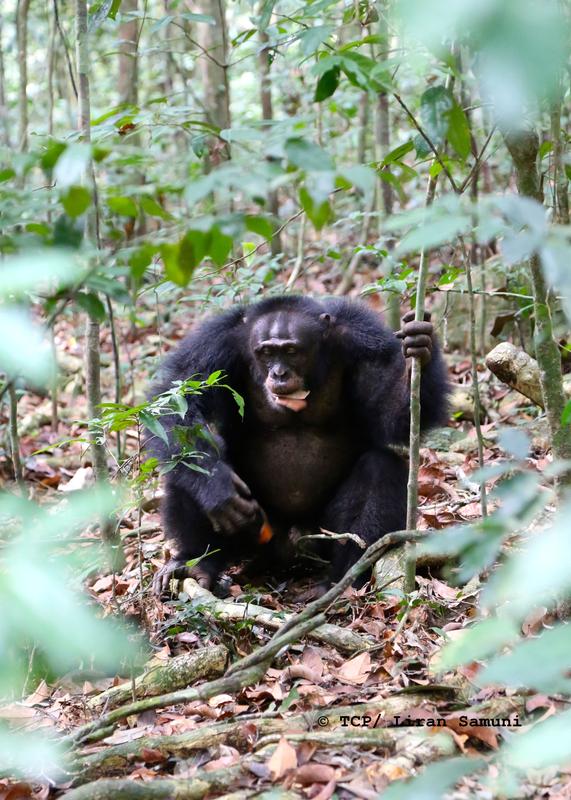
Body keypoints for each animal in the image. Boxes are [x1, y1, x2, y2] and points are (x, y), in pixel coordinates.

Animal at [149, 296, 452, 592]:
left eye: (291, 351)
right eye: (266, 353)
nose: (279, 373)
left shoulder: (366, 338)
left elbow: (392, 414)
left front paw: (420, 350)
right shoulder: (214, 342)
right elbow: (177, 401)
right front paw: (218, 487)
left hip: (320, 536)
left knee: (379, 467)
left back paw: (344, 575)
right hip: (254, 535)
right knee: (187, 466)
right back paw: (197, 561)